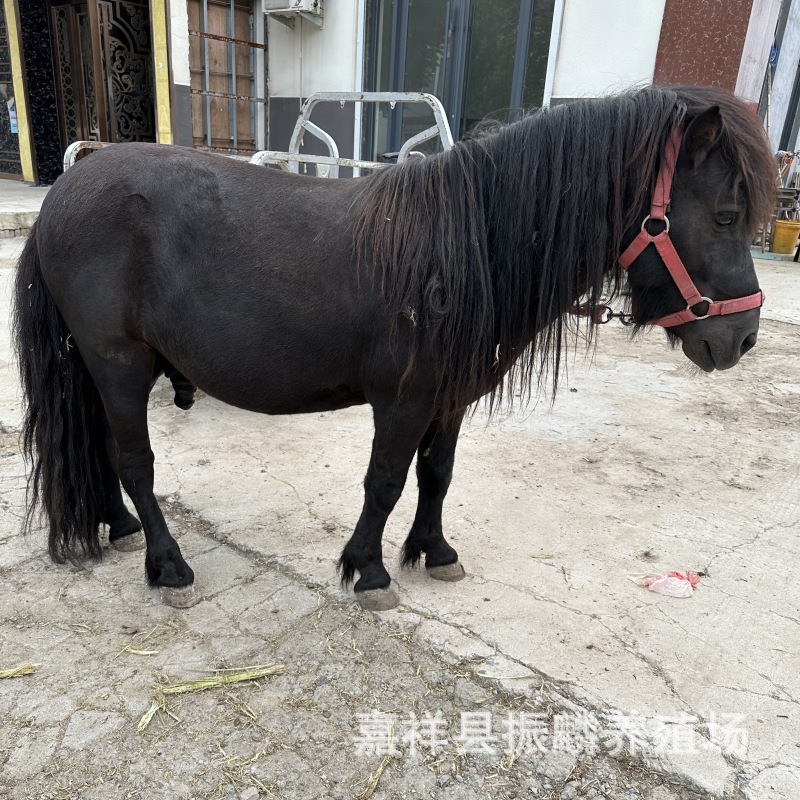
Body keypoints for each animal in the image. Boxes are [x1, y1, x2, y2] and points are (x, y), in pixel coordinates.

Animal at [12, 85, 775, 611]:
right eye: (725, 216)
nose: (740, 337)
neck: (466, 249)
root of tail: (62, 194)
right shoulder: (403, 402)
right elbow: (385, 482)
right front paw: (369, 570)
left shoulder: (449, 400)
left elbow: (436, 476)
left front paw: (433, 552)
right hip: (119, 362)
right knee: (136, 463)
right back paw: (170, 566)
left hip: (103, 368)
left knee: (103, 449)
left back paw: (118, 527)